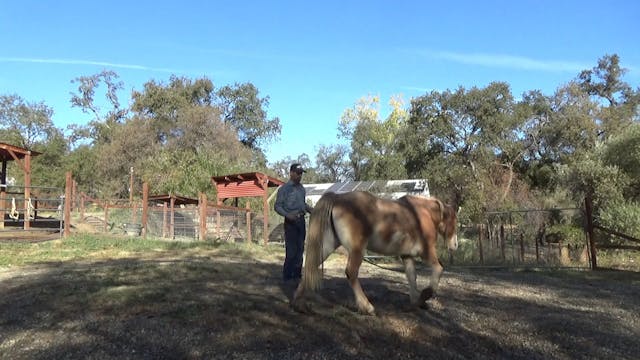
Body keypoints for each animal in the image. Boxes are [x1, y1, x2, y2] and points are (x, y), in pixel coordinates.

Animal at [292, 191, 458, 316]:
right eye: (454, 220)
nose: (455, 245)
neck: (420, 213)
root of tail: (337, 198)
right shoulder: (426, 252)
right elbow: (438, 269)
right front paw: (424, 297)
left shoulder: (407, 256)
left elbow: (412, 277)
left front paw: (415, 302)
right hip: (357, 250)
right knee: (351, 272)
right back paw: (367, 307)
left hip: (327, 245)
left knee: (311, 266)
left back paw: (299, 303)